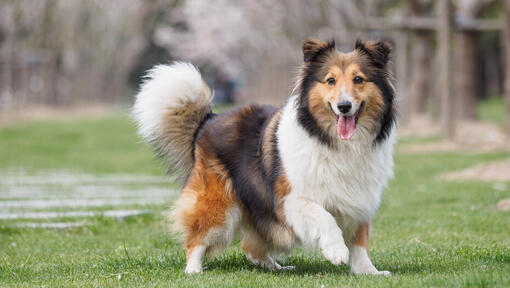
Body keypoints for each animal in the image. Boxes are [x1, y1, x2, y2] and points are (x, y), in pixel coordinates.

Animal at [131, 38, 394, 274]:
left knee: (250, 247)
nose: (344, 106)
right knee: (197, 238)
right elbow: (325, 217)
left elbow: (360, 241)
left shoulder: (358, 198)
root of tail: (208, 120)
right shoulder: (290, 199)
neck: (332, 141)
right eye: (331, 80)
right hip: (219, 204)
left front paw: (368, 272)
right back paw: (194, 270)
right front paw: (336, 251)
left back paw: (277, 267)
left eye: (358, 79)